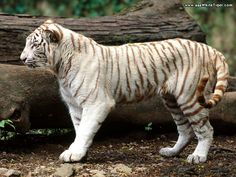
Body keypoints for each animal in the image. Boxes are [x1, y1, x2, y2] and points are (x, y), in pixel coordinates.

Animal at [20, 20, 229, 164]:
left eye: (35, 45)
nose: (21, 58)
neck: (60, 67)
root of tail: (209, 49)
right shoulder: (75, 105)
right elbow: (80, 129)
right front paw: (80, 154)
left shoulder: (96, 103)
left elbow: (86, 129)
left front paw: (74, 153)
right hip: (171, 99)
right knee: (185, 129)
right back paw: (171, 152)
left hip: (190, 98)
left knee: (205, 129)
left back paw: (198, 156)